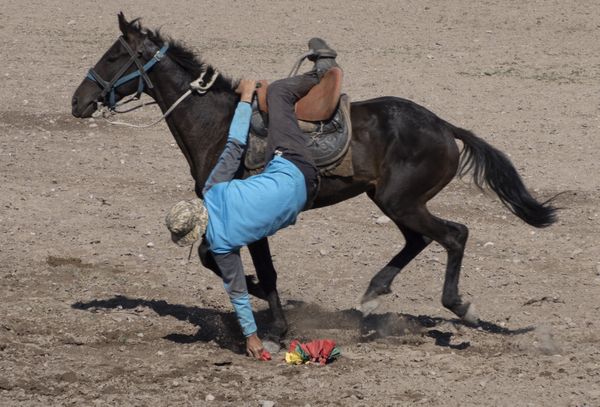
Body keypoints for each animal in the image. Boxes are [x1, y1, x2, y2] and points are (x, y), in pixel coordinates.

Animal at [71, 13, 556, 342]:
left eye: (114, 55)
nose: (78, 100)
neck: (219, 121)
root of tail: (444, 126)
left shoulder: (247, 217)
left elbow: (250, 268)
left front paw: (275, 319)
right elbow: (230, 263)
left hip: (402, 201)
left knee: (455, 235)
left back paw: (459, 306)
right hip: (391, 200)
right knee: (419, 240)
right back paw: (373, 293)